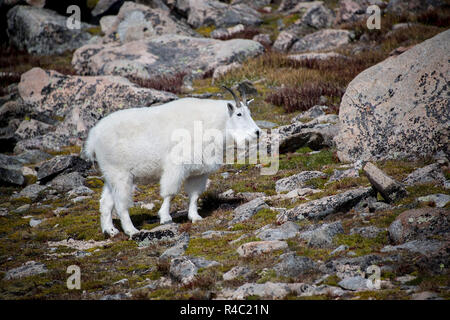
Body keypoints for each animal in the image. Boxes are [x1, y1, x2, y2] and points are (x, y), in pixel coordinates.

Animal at [83, 87, 260, 238]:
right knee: (121, 204)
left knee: (106, 202)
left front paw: (195, 217)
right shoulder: (176, 167)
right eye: (238, 114)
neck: (211, 124)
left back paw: (110, 231)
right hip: (120, 174)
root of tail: (93, 136)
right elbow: (170, 193)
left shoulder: (199, 172)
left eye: (250, 112)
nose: (257, 132)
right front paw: (166, 217)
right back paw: (131, 230)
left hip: (110, 175)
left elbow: (194, 194)